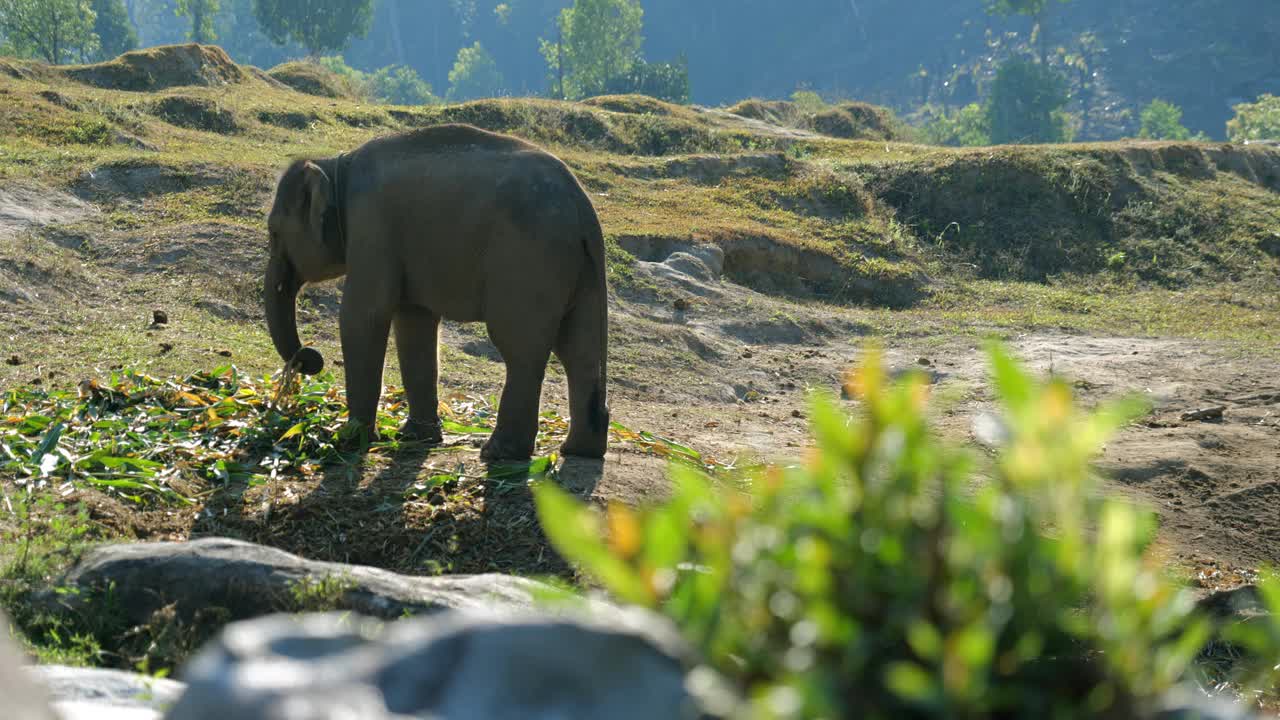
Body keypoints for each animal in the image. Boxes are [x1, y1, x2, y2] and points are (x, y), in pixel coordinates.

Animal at [261, 122, 609, 458]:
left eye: (274, 232)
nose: (310, 359)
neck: (336, 165)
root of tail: (584, 211)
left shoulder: (371, 227)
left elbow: (364, 315)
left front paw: (347, 439)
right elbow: (414, 323)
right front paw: (415, 437)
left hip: (528, 262)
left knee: (520, 350)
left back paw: (500, 453)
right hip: (580, 271)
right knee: (578, 351)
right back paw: (580, 450)